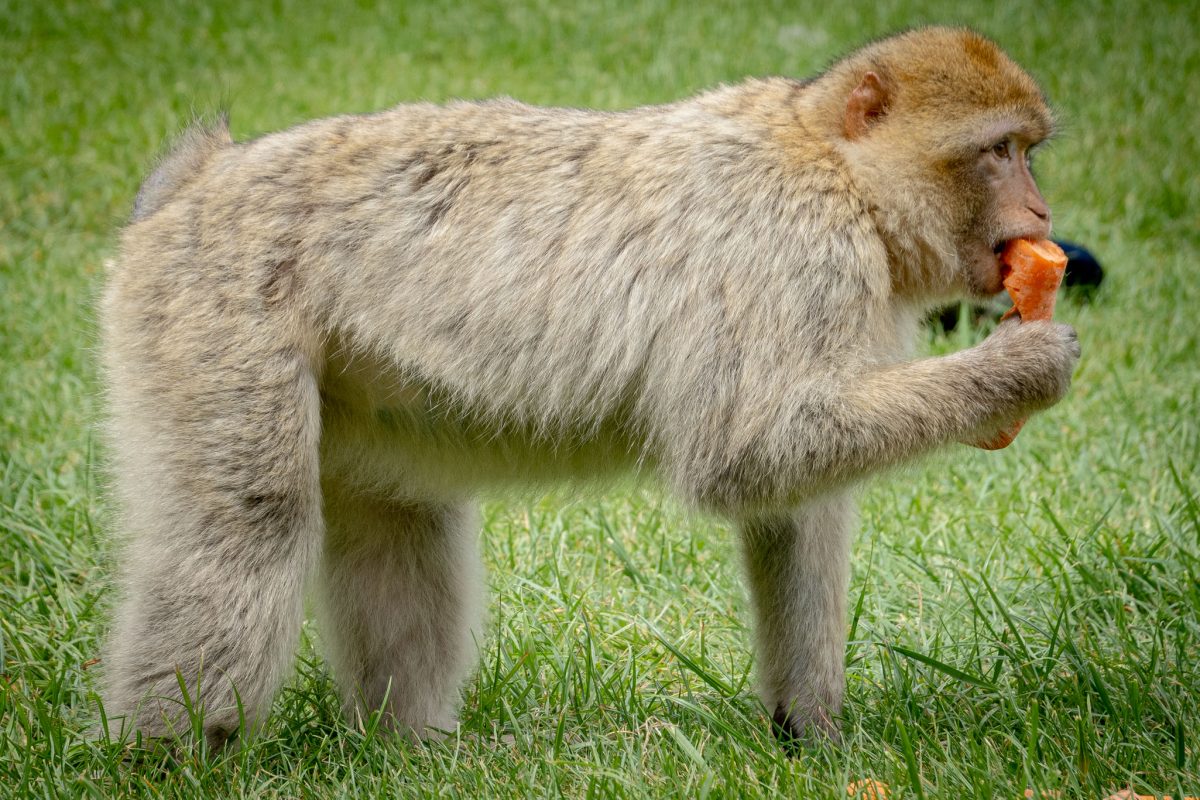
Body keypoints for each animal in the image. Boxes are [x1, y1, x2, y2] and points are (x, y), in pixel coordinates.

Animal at [99, 26, 1080, 751]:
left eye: (1030, 151)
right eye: (999, 152)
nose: (1041, 216)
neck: (832, 166)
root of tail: (198, 181)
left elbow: (796, 506)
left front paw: (813, 731)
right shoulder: (791, 251)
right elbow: (746, 452)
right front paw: (1017, 370)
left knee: (397, 519)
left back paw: (410, 749)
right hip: (213, 314)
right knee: (247, 524)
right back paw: (176, 753)